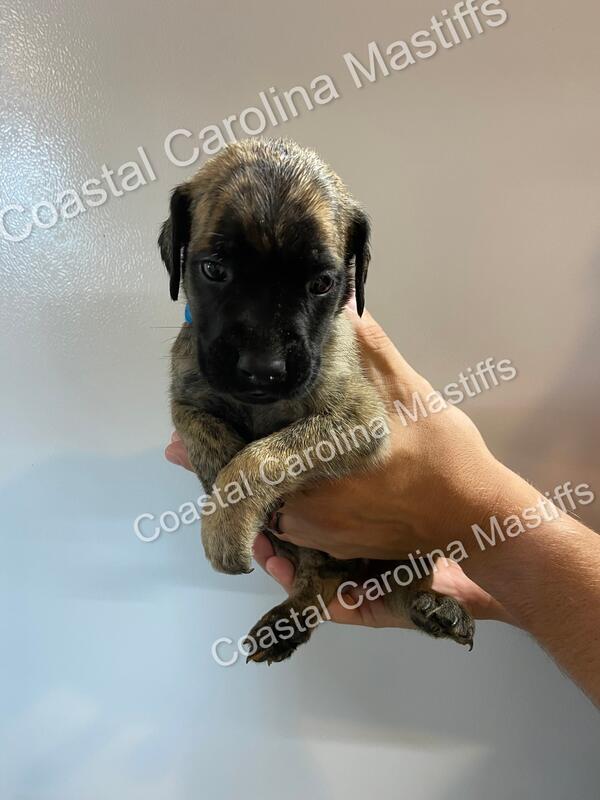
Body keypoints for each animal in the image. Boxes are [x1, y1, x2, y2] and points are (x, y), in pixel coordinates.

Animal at [159, 138, 474, 663]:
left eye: (322, 283)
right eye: (215, 269)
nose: (262, 369)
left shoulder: (355, 418)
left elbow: (263, 456)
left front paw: (227, 516)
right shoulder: (185, 393)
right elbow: (204, 433)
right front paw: (219, 481)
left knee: (404, 579)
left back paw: (435, 606)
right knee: (315, 585)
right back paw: (288, 623)